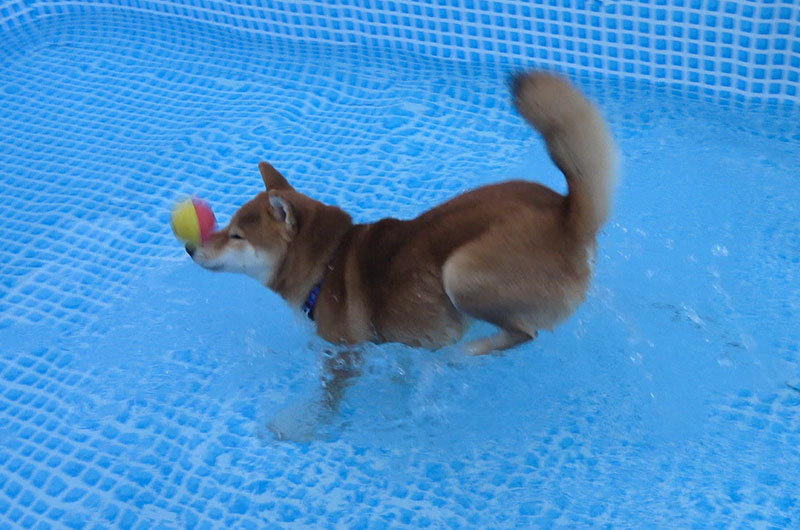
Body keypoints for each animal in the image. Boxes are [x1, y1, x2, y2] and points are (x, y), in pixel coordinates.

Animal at [189, 70, 620, 354]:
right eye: (226, 225)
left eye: (236, 235)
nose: (190, 248)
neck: (327, 264)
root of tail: (569, 213)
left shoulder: (346, 350)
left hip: (461, 273)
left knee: (522, 334)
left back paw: (468, 352)